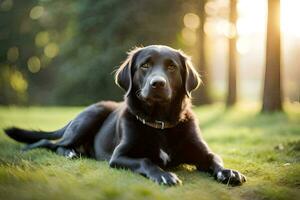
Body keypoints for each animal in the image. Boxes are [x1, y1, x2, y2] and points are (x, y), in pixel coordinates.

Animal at [4, 45, 246, 186]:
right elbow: (146, 161)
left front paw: (229, 172)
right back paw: (53, 151)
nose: (157, 84)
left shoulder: (202, 152)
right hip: (91, 116)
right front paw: (164, 174)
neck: (160, 123)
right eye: (145, 65)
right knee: (52, 143)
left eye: (172, 67)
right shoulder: (119, 156)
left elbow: (214, 158)